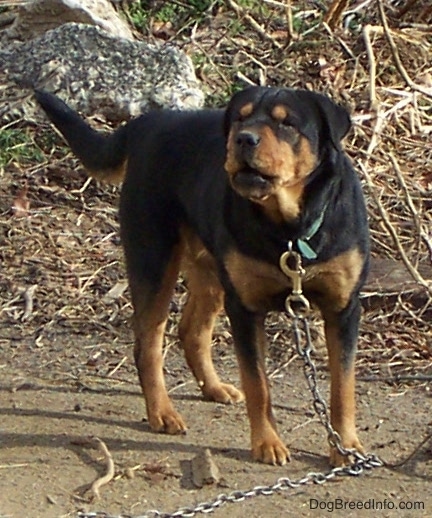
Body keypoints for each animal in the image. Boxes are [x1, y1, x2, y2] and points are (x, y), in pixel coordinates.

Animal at [35, 87, 370, 470]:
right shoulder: (245, 308)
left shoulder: (344, 308)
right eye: (240, 117)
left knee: (191, 331)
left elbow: (343, 387)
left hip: (210, 270)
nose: (244, 139)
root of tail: (149, 121)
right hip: (154, 258)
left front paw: (346, 446)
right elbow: (258, 384)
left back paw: (214, 388)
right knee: (148, 344)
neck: (289, 228)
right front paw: (267, 443)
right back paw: (162, 412)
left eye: (287, 123)